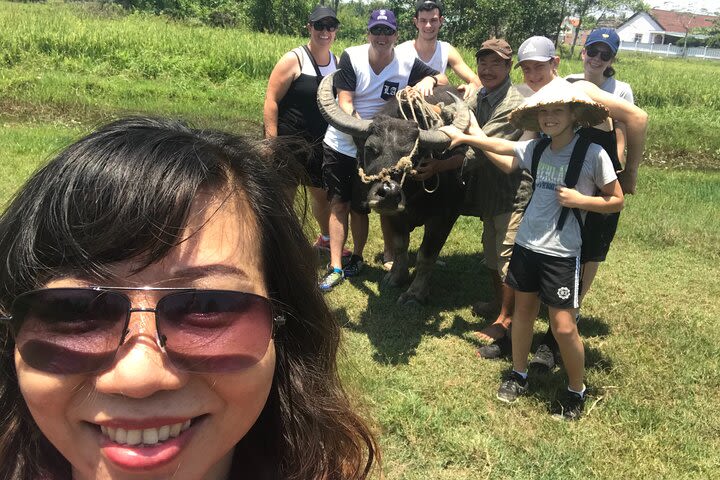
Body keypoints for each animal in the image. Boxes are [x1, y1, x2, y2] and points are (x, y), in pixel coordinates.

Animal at [318, 71, 470, 304]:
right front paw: (396, 277)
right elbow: (399, 245)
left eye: (413, 156)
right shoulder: (394, 215)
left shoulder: (445, 217)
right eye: (371, 148)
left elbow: (427, 255)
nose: (389, 193)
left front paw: (415, 294)